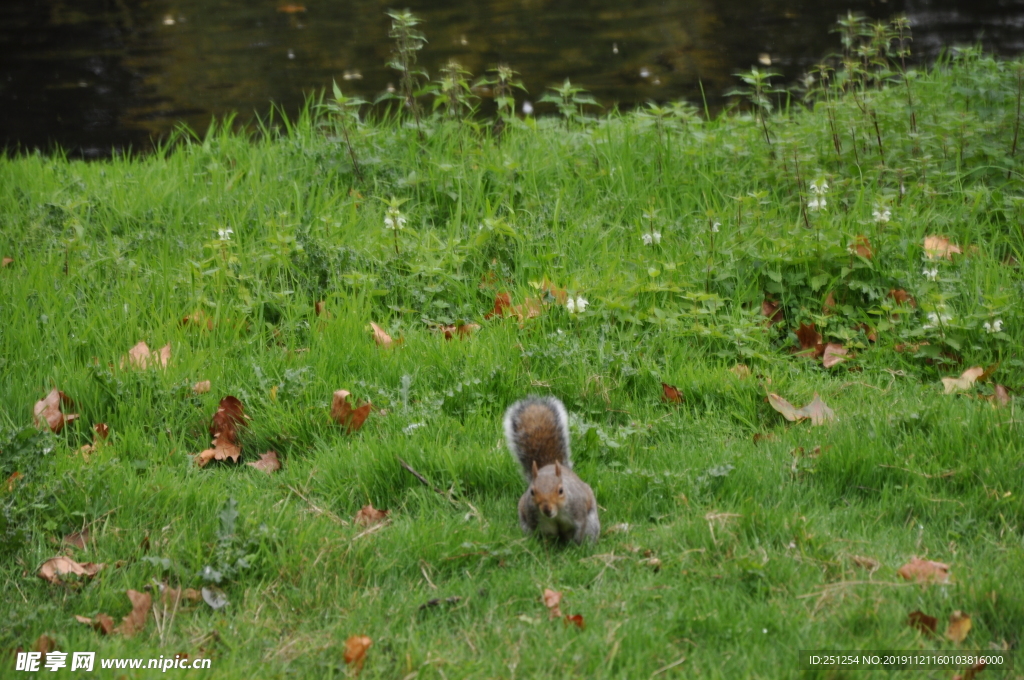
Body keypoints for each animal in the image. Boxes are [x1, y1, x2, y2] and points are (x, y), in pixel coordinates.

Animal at [503, 395, 598, 544]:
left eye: (561, 490)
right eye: (532, 491)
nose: (547, 509)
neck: (556, 515)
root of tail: (549, 465)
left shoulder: (578, 511)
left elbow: (580, 528)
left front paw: (576, 544)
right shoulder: (536, 521)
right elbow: (545, 538)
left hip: (592, 521)